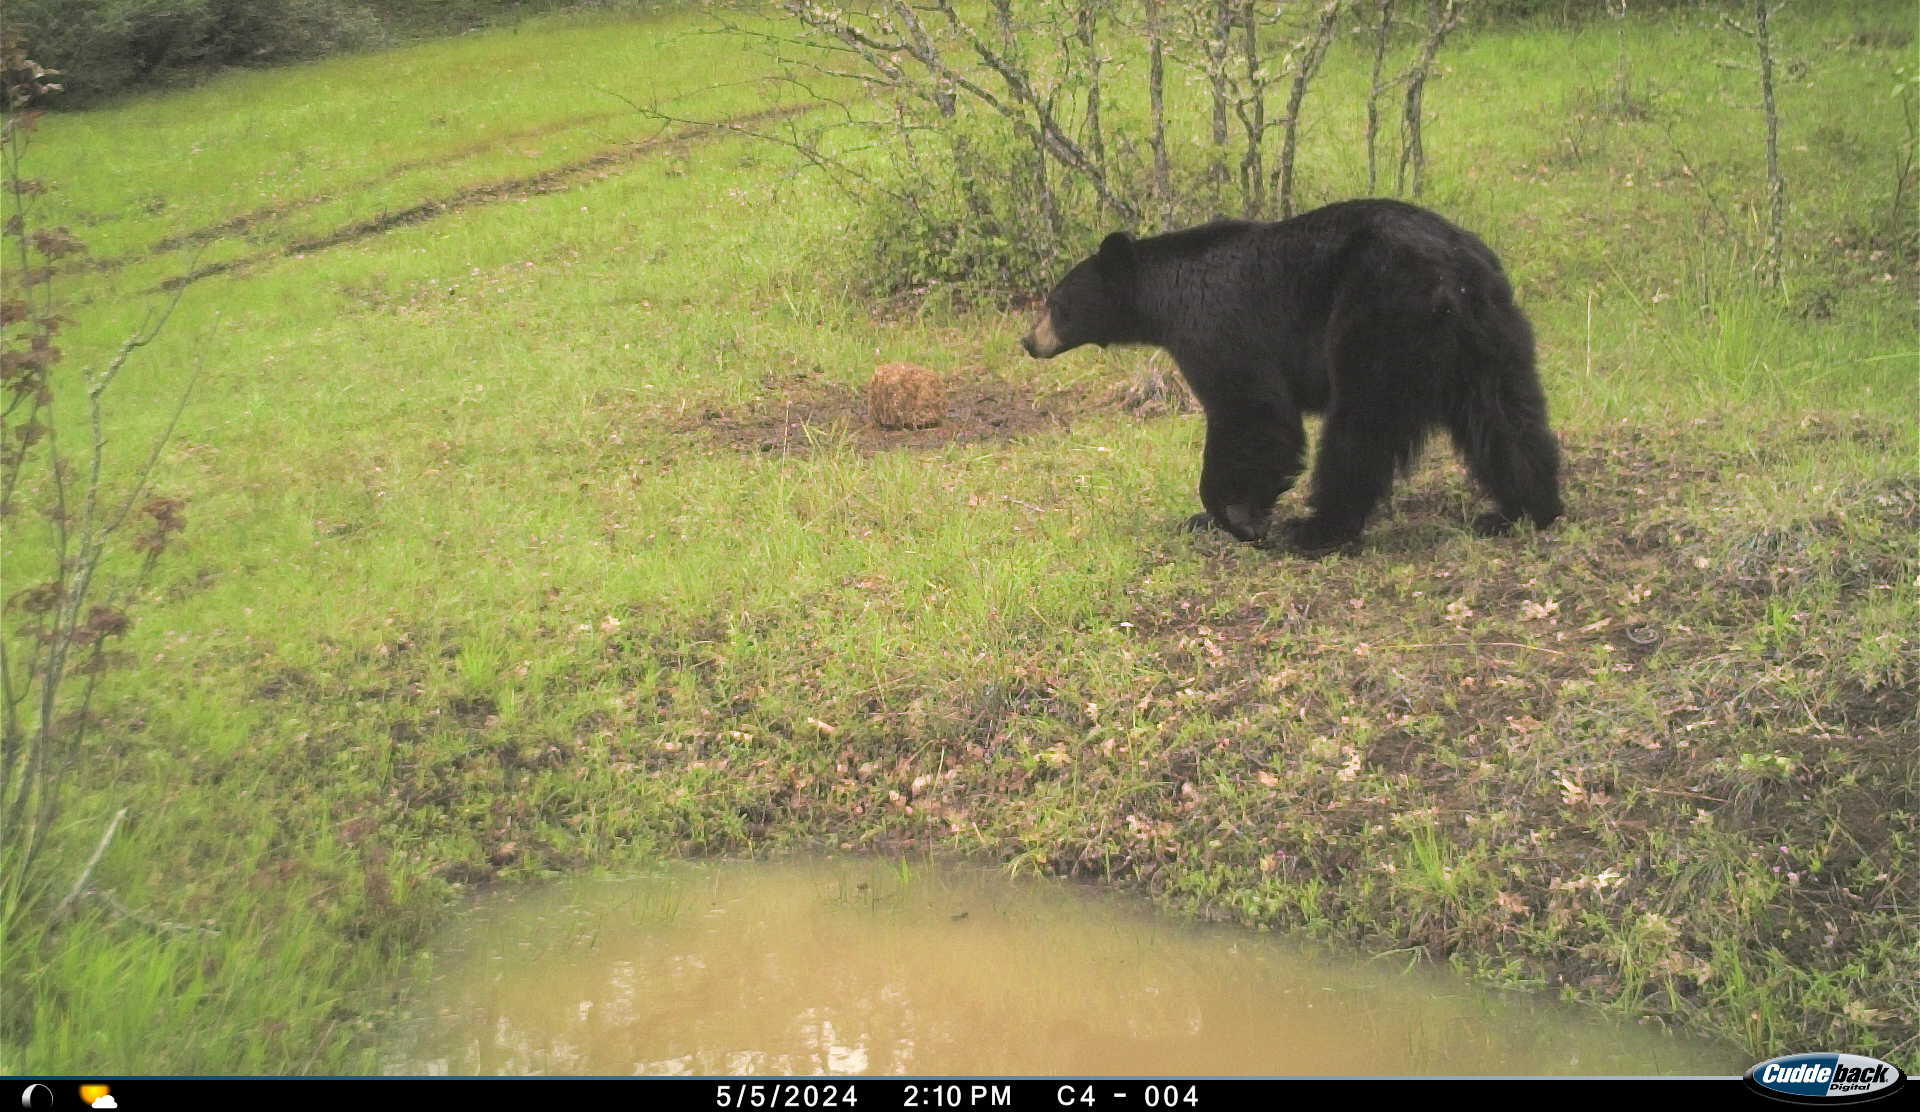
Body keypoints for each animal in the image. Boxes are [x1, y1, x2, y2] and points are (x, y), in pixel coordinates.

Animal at [1020, 199, 1563, 553]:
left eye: (1056, 304)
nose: (1028, 341)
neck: (1163, 299)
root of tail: (1455, 274)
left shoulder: (1217, 328)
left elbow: (1252, 413)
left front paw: (1237, 518)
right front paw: (1208, 519)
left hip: (1378, 319)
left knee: (1360, 427)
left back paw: (1318, 528)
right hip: (1490, 335)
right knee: (1506, 415)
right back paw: (1523, 508)